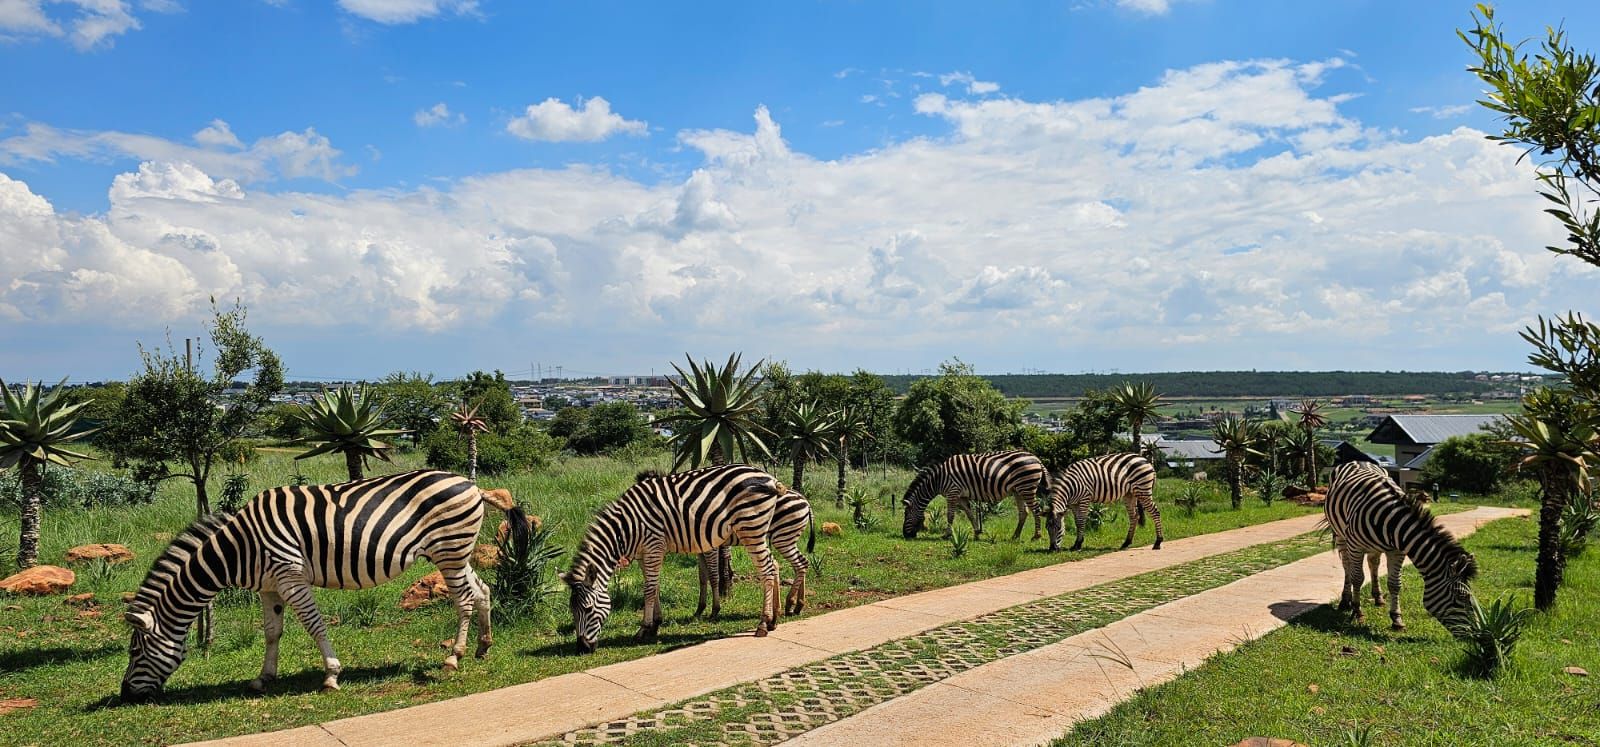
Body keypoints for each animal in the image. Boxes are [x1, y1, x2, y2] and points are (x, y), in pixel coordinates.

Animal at [120, 470, 526, 701]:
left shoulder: (290, 575)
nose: (124, 696)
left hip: (449, 549)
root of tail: (471, 484)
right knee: (482, 590)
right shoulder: (269, 586)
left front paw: (331, 675)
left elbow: (314, 626)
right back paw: (483, 647)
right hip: (456, 551)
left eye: (135, 652)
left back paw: (454, 657)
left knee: (463, 600)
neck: (239, 549)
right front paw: (263, 678)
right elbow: (272, 632)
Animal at [561, 464, 786, 653]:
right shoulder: (644, 553)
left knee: (766, 570)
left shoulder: (653, 546)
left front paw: (644, 629)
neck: (627, 528)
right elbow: (654, 586)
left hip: (751, 528)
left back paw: (763, 623)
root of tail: (770, 478)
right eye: (572, 611)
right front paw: (655, 624)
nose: (582, 648)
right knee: (773, 565)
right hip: (758, 531)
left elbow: (649, 589)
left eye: (588, 609)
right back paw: (774, 619)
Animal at [694, 487, 817, 619]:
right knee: (800, 564)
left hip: (783, 538)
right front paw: (699, 610)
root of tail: (804, 499)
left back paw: (790, 603)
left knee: (801, 564)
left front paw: (714, 610)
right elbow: (702, 578)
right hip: (787, 538)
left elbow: (713, 576)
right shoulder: (700, 549)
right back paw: (798, 605)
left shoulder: (711, 546)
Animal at [901, 450, 1050, 541]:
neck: (938, 479)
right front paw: (977, 533)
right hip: (1018, 490)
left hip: (1027, 487)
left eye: (906, 515)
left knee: (1036, 510)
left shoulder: (952, 492)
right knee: (1024, 512)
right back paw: (1015, 536)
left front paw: (947, 535)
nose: (905, 535)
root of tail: (1035, 458)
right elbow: (970, 514)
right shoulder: (961, 496)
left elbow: (950, 515)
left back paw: (1036, 536)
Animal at [1325, 462, 1478, 631]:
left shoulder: (1397, 551)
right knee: (1347, 566)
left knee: (1373, 563)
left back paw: (1378, 597)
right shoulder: (1356, 546)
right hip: (1340, 535)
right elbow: (1357, 578)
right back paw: (1345, 601)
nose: (1476, 632)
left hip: (1374, 546)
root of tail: (1358, 461)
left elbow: (1395, 584)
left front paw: (1396, 618)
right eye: (1461, 597)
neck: (1391, 522)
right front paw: (1358, 612)